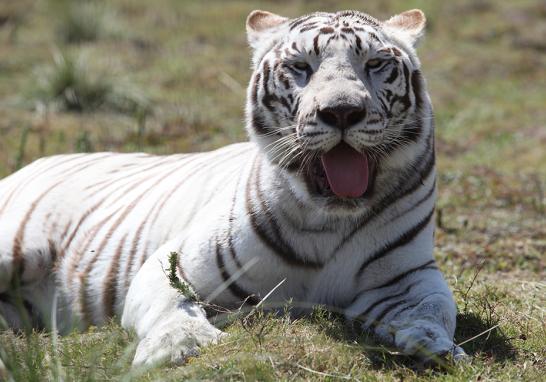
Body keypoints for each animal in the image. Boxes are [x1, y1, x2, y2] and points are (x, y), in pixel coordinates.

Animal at [1, 8, 468, 368]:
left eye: (374, 65)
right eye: (301, 67)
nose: (342, 111)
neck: (328, 219)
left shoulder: (408, 278)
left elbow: (433, 310)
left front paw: (438, 348)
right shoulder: (174, 262)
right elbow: (171, 304)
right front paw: (181, 346)